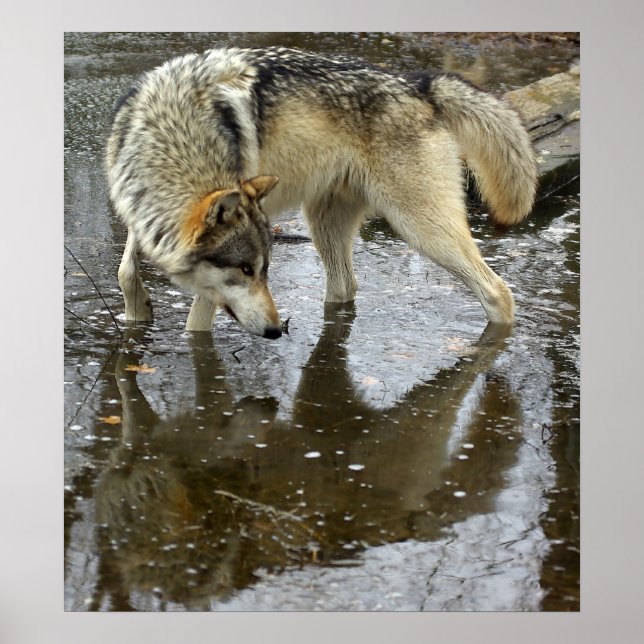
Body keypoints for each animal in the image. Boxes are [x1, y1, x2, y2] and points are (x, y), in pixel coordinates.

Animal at [106, 46, 537, 338]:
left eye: (259, 270)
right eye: (246, 270)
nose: (275, 330)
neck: (175, 129)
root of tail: (419, 84)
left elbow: (196, 323)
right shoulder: (135, 210)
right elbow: (125, 270)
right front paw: (139, 310)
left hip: (420, 229)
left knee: (499, 292)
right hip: (323, 225)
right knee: (345, 287)